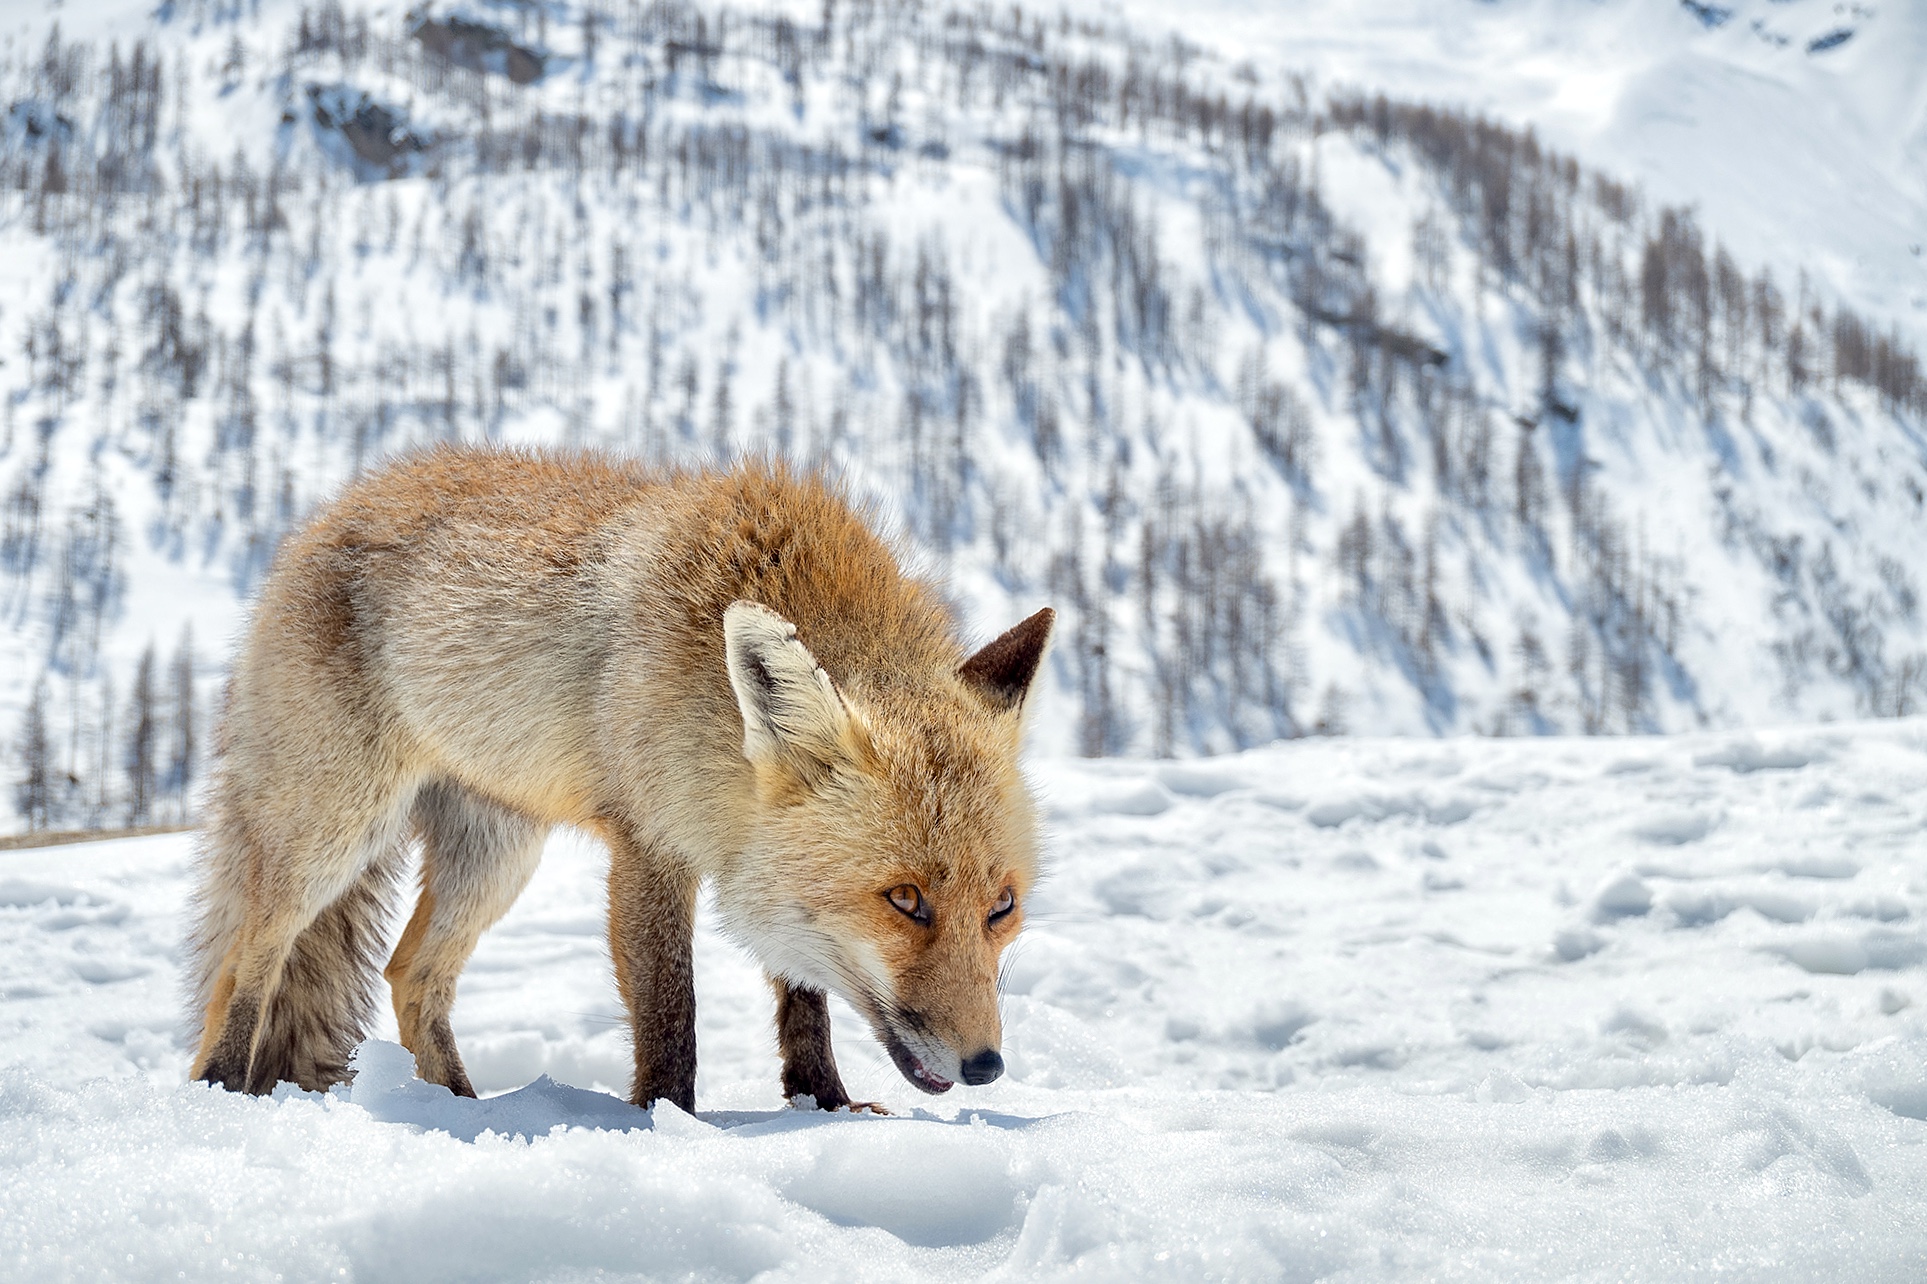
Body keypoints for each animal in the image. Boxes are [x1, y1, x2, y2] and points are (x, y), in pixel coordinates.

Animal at [185, 447, 1054, 1113]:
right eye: (905, 901)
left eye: (1001, 908)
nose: (985, 1066)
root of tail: (332, 508)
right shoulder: (650, 843)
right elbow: (671, 1014)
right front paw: (668, 1124)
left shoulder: (755, 852)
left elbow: (803, 998)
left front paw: (825, 1106)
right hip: (334, 832)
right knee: (252, 960)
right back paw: (227, 1090)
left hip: (495, 858)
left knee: (411, 976)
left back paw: (460, 1110)